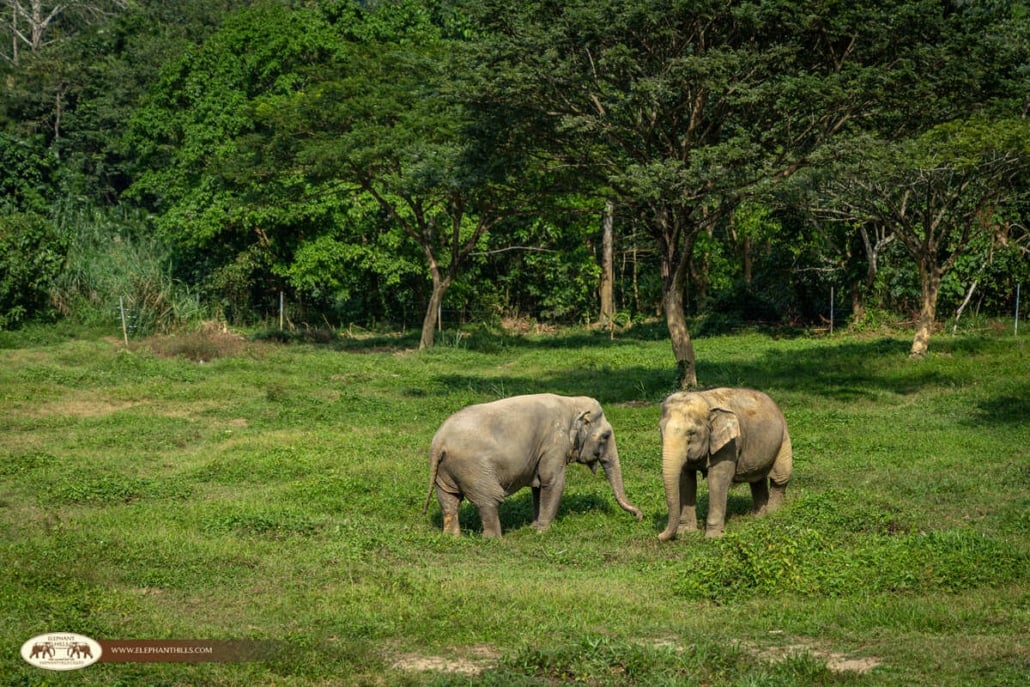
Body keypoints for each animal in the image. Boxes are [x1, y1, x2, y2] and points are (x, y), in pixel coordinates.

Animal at [423, 393, 644, 537]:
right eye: (606, 436)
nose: (639, 516)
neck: (571, 402)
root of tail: (439, 443)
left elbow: (538, 487)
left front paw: (533, 528)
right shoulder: (554, 444)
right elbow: (552, 482)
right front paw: (542, 532)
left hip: (446, 471)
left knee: (449, 501)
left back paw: (452, 537)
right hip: (474, 470)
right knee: (489, 500)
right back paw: (494, 539)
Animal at [657, 388, 792, 541]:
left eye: (691, 433)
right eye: (660, 430)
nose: (659, 535)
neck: (705, 399)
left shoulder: (730, 445)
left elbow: (717, 480)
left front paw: (713, 538)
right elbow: (686, 481)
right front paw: (686, 533)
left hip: (784, 438)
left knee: (780, 477)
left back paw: (773, 515)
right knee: (757, 480)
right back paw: (759, 517)